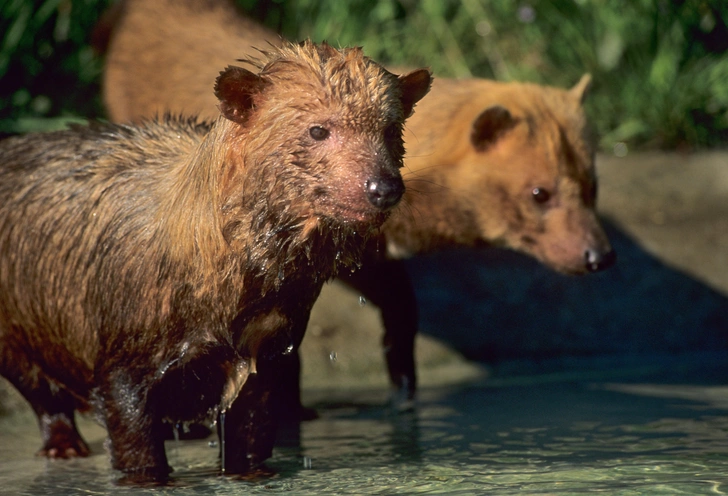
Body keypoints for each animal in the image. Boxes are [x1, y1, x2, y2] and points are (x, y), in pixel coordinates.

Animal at [0, 40, 432, 478]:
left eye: (390, 129)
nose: (383, 188)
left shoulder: (267, 348)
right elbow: (135, 442)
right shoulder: (122, 354)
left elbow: (251, 432)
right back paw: (64, 446)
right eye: (317, 130)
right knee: (43, 395)